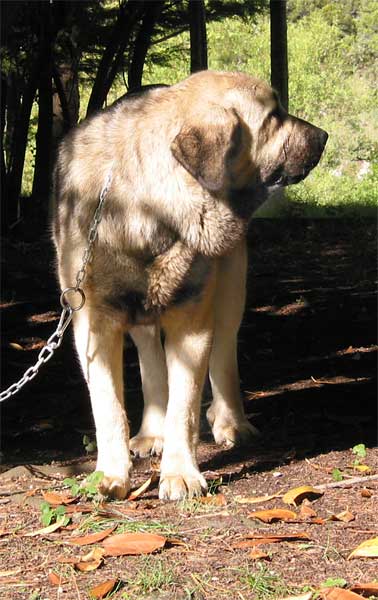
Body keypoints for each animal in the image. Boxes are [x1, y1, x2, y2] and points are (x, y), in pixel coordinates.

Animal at [53, 70, 328, 502]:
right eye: (273, 116)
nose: (324, 136)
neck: (151, 209)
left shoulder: (192, 321)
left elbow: (184, 406)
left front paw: (180, 473)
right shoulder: (93, 326)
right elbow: (109, 407)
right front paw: (110, 475)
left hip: (230, 292)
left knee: (225, 355)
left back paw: (232, 422)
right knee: (150, 359)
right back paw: (152, 432)